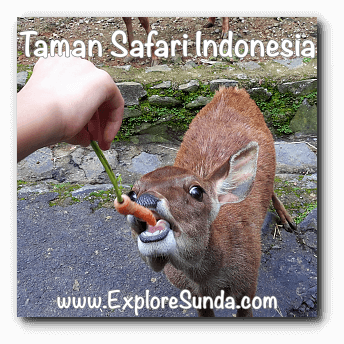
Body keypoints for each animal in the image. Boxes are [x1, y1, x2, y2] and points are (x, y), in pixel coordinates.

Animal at [126, 86, 296, 318]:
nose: (146, 199)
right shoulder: (196, 296)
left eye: (196, 191)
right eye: (132, 194)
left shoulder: (249, 283)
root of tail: (232, 89)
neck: (207, 281)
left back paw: (287, 220)